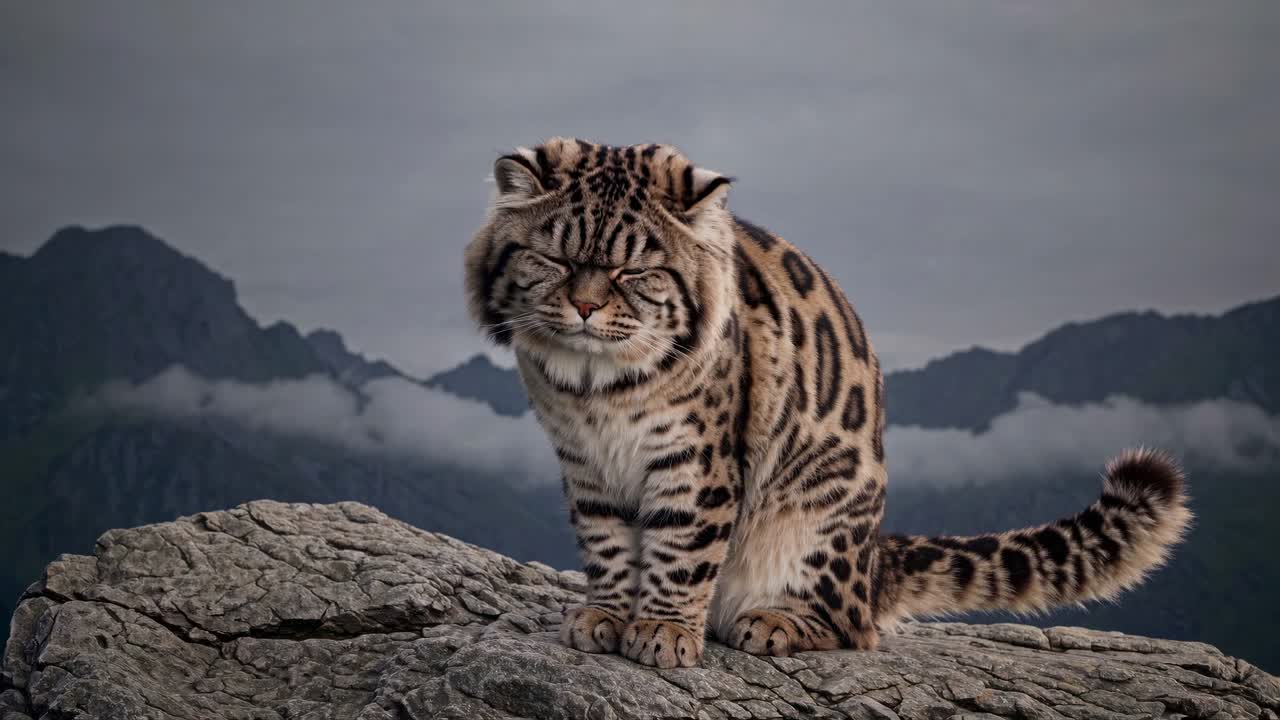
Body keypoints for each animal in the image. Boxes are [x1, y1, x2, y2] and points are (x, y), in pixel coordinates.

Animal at [463, 137, 1192, 668]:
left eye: (634, 270)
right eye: (555, 259)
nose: (585, 307)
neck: (594, 393)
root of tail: (872, 563)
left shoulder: (695, 463)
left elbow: (681, 549)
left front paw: (664, 632)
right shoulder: (584, 465)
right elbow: (608, 543)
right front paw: (607, 615)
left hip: (816, 523)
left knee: (852, 626)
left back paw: (770, 621)